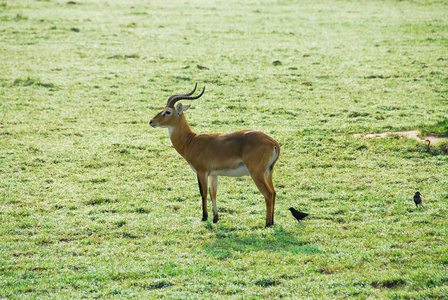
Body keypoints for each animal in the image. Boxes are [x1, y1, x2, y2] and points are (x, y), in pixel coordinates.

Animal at [150, 83, 280, 226]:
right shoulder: (214, 174)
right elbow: (213, 193)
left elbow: (203, 193)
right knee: (274, 193)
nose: (151, 121)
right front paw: (215, 218)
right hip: (268, 173)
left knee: (268, 194)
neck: (191, 141)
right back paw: (272, 222)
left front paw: (204, 217)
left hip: (256, 173)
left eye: (167, 112)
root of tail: (273, 142)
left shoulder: (201, 172)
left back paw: (267, 224)